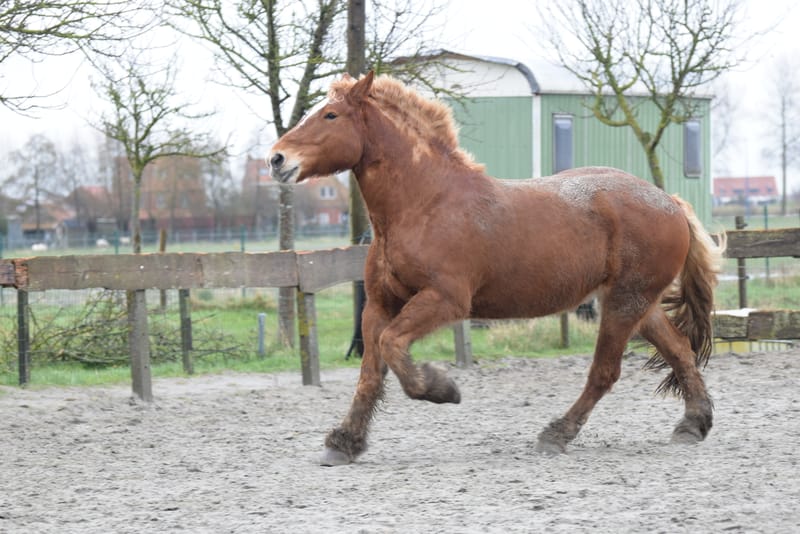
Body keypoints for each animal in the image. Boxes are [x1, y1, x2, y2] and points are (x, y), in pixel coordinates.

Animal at [268, 71, 725, 466]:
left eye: (331, 115)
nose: (276, 159)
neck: (425, 204)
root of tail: (671, 202)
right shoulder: (380, 305)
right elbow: (370, 372)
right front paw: (343, 443)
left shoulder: (445, 300)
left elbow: (393, 347)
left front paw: (440, 388)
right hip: (638, 305)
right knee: (680, 351)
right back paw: (693, 425)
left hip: (623, 304)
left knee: (605, 372)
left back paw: (556, 434)